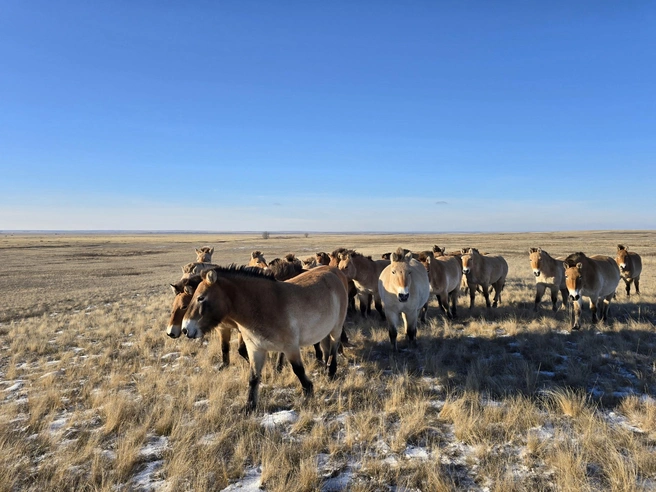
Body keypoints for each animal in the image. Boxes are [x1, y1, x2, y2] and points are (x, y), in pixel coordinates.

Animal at [181, 265, 348, 412]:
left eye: (201, 298)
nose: (185, 329)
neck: (263, 306)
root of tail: (335, 274)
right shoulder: (256, 349)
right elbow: (253, 378)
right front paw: (249, 406)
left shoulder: (291, 347)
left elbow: (298, 370)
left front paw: (308, 393)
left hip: (336, 328)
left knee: (334, 347)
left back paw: (331, 371)